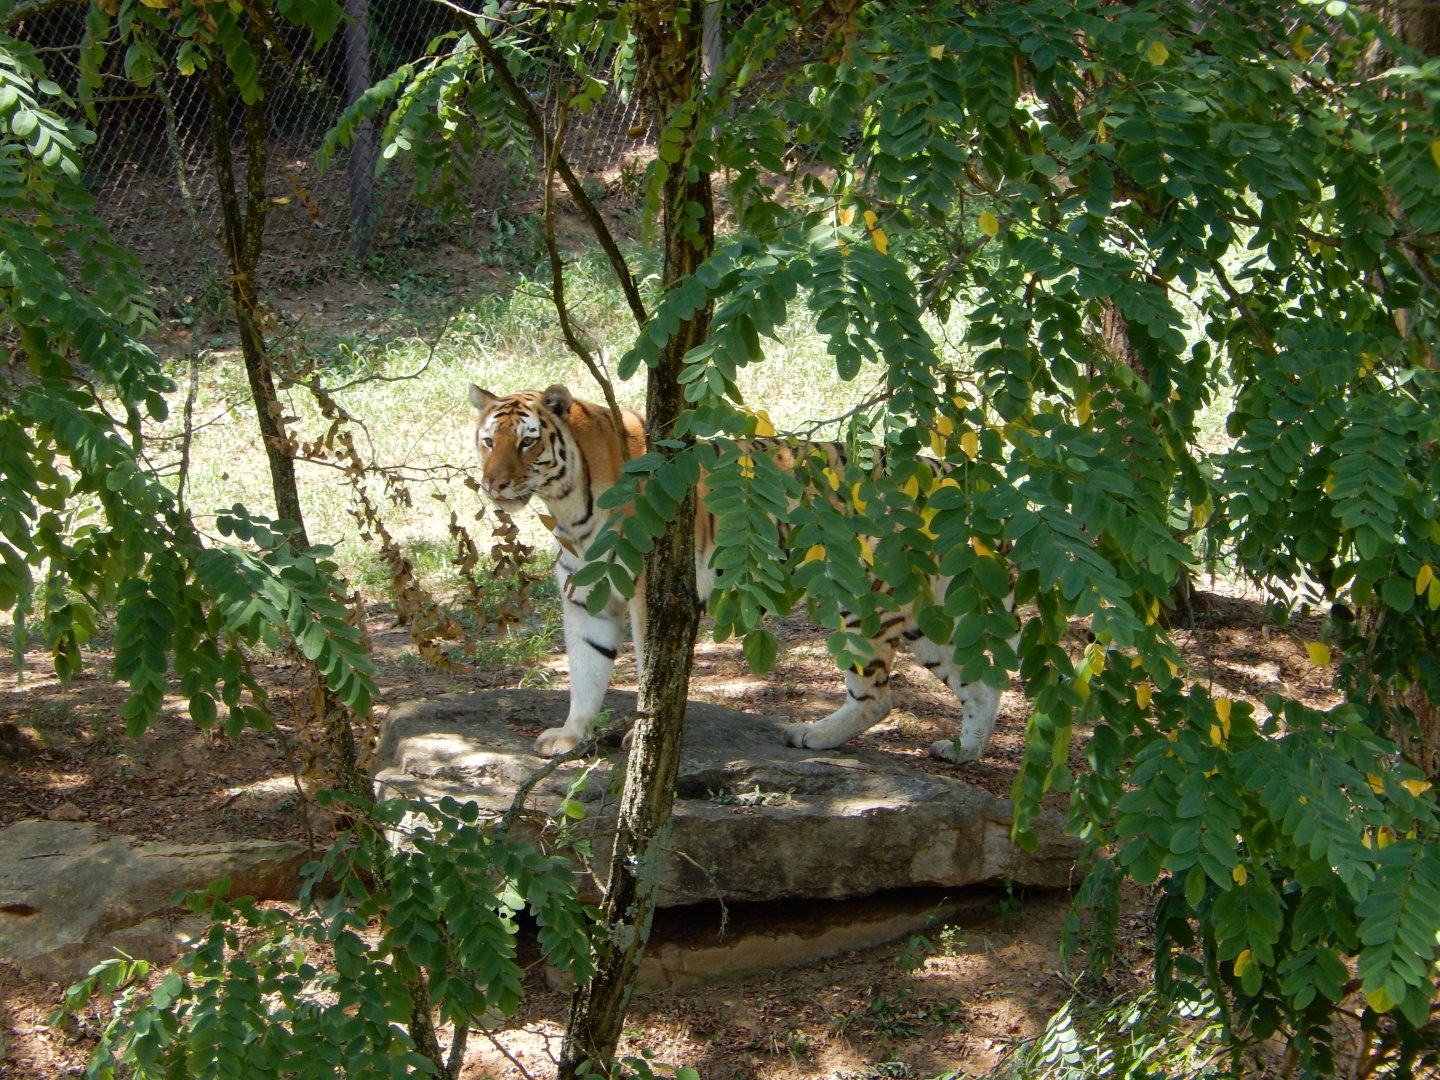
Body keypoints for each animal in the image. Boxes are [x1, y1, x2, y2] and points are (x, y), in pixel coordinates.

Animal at [468, 383, 1011, 763]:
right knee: (982, 685)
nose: (494, 484)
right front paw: (571, 735)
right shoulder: (585, 597)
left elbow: (647, 676)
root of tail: (961, 489)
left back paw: (811, 735)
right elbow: (586, 671)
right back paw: (963, 752)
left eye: (527, 444)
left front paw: (642, 737)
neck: (567, 507)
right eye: (488, 441)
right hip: (932, 616)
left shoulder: (651, 593)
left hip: (864, 602)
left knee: (877, 697)